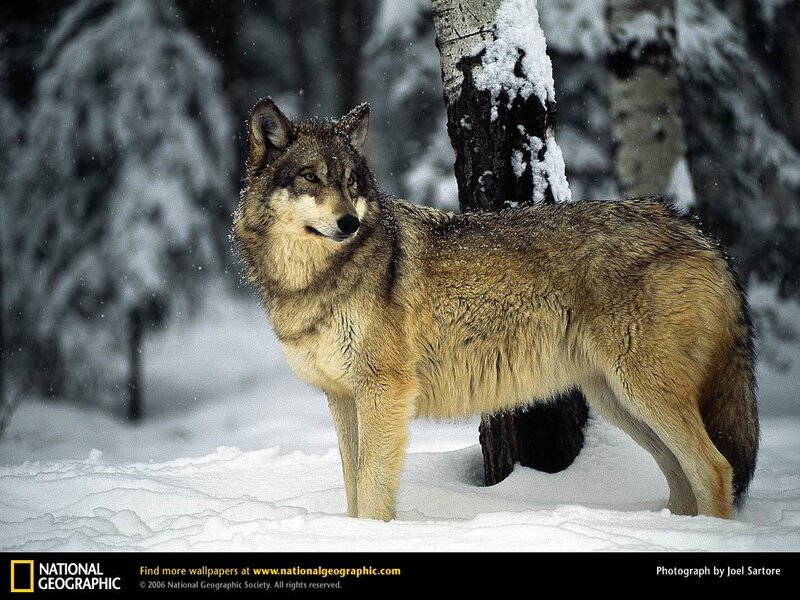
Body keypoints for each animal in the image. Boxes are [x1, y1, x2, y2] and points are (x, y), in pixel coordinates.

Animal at [234, 97, 759, 521]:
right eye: (311, 178)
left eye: (351, 183)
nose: (348, 223)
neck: (314, 282)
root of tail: (699, 233)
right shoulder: (342, 396)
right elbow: (351, 486)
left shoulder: (384, 391)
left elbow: (372, 488)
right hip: (619, 401)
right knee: (683, 477)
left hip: (643, 393)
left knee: (715, 468)